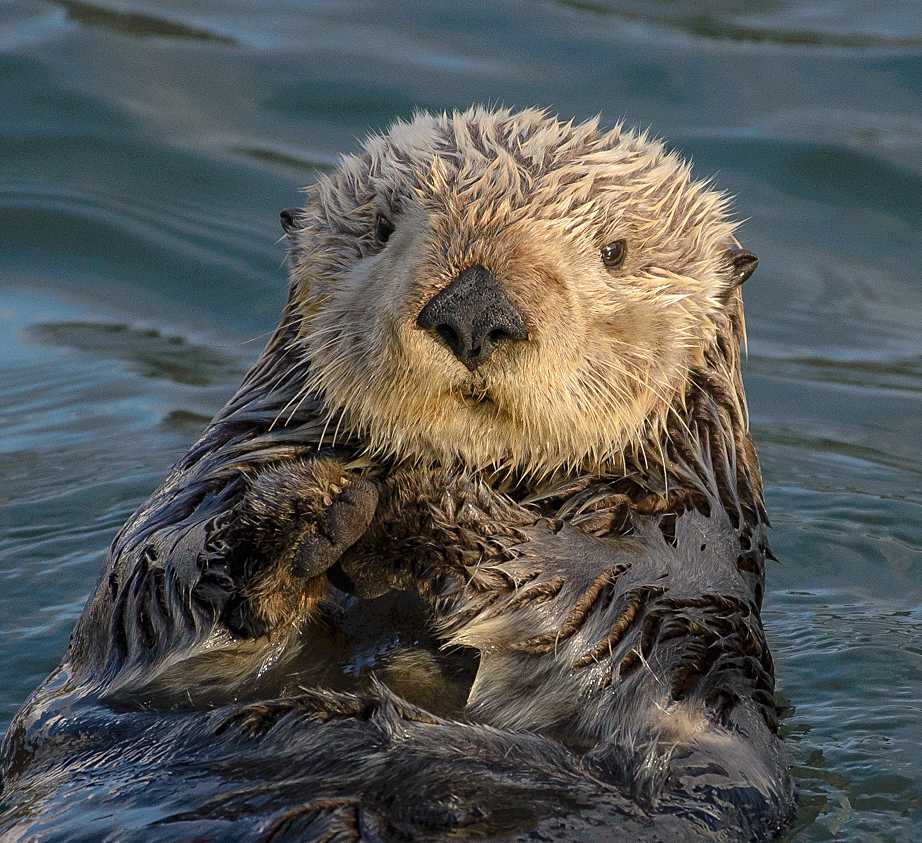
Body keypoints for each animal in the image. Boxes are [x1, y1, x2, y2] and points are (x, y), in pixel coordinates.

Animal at [0, 109, 792, 840]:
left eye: (615, 250)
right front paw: (308, 512)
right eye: (381, 228)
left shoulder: (683, 580)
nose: (473, 309)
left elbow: (602, 609)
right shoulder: (198, 498)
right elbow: (150, 585)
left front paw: (420, 510)